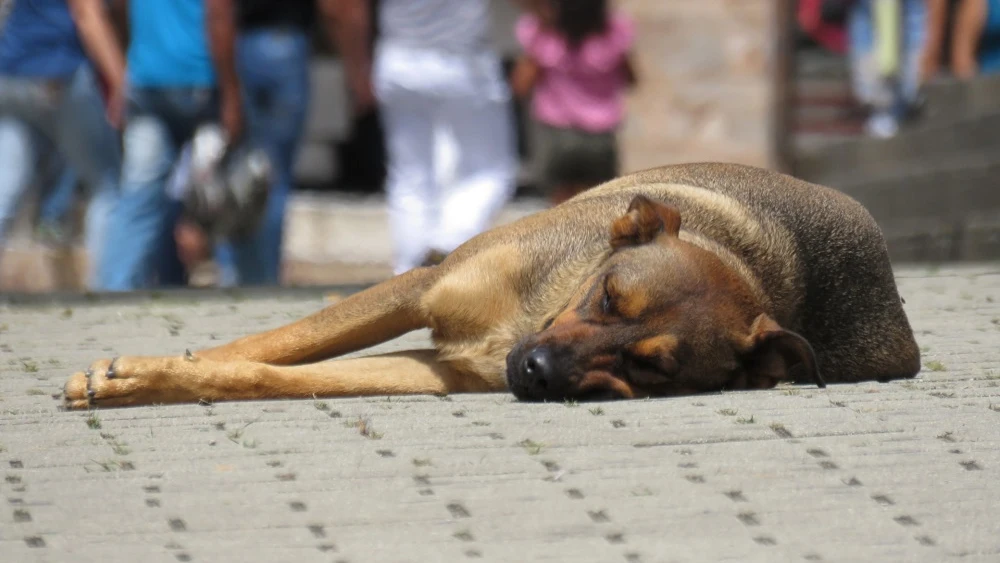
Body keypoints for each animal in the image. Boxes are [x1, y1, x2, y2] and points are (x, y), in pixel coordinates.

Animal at [62, 163, 920, 410]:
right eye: (609, 297)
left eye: (650, 365)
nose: (535, 373)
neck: (528, 317)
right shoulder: (421, 286)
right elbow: (273, 342)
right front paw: (137, 372)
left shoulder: (441, 370)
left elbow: (265, 373)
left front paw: (148, 378)